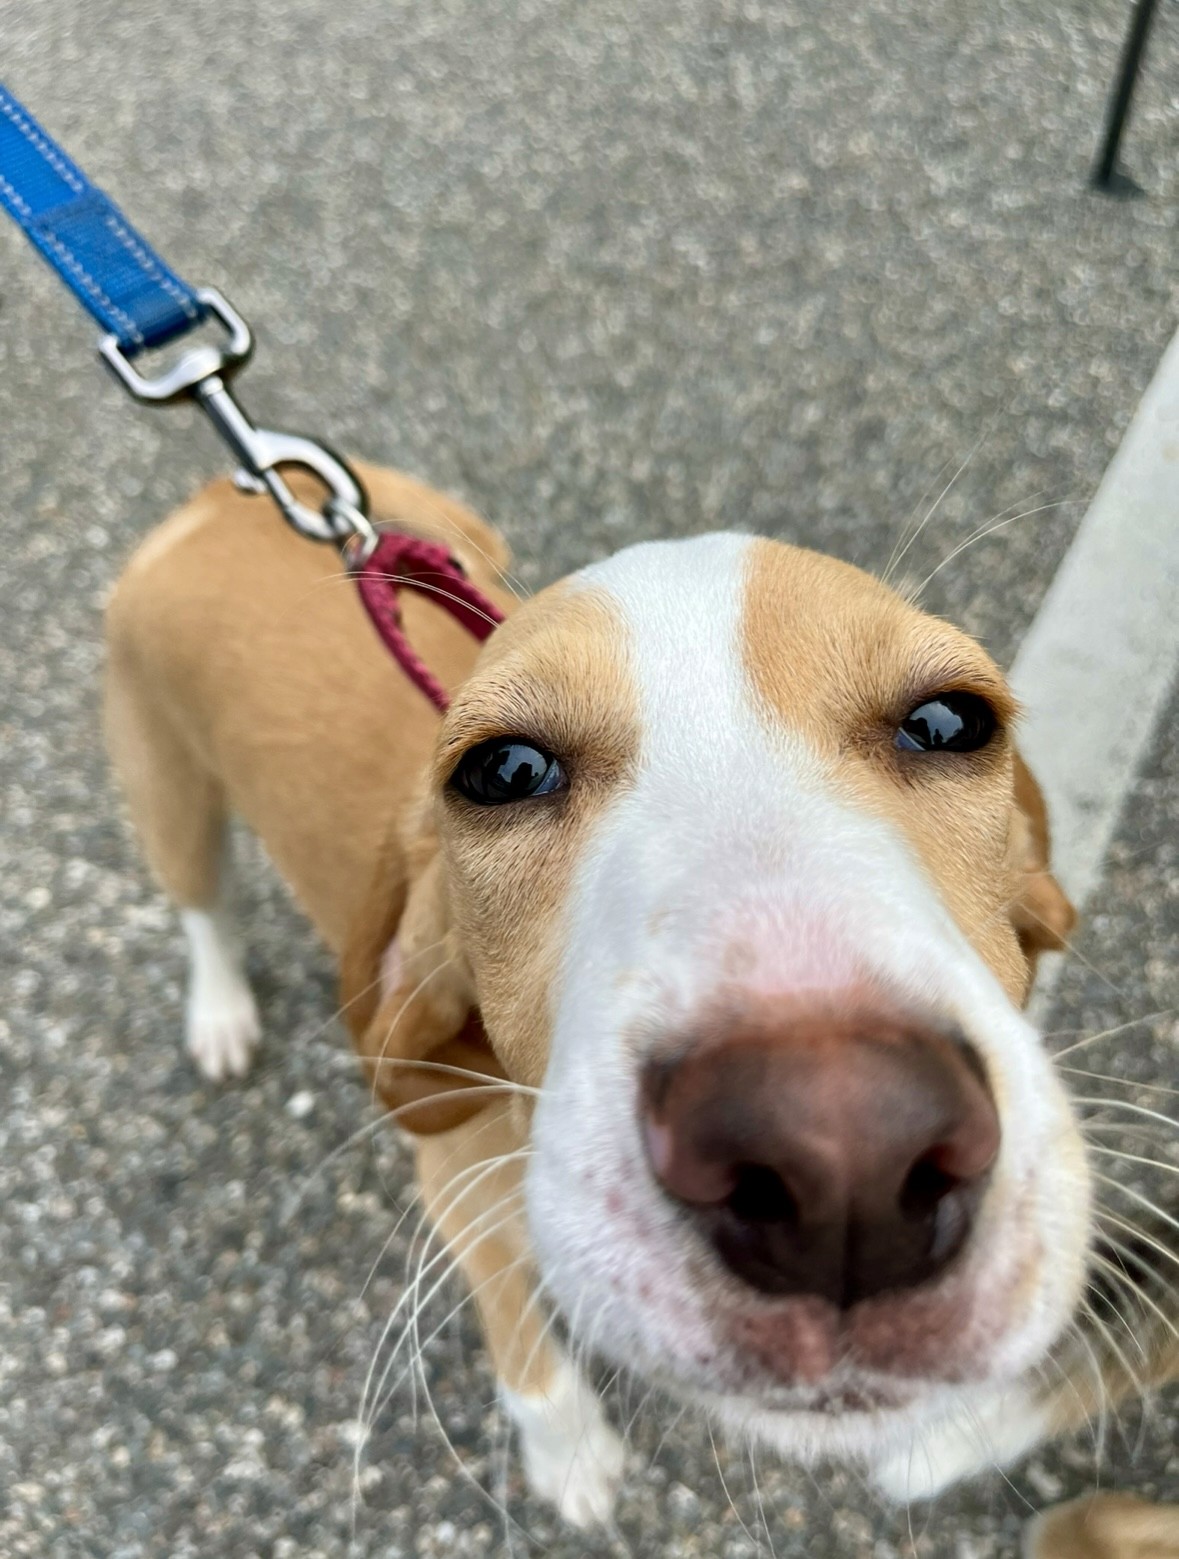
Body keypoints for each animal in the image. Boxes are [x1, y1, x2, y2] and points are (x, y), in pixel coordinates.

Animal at [104, 460, 1176, 1534]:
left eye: (949, 721)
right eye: (503, 769)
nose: (845, 1160)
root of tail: (223, 492)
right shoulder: (459, 1190)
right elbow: (527, 1353)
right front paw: (571, 1454)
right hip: (168, 791)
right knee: (203, 907)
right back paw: (220, 1011)